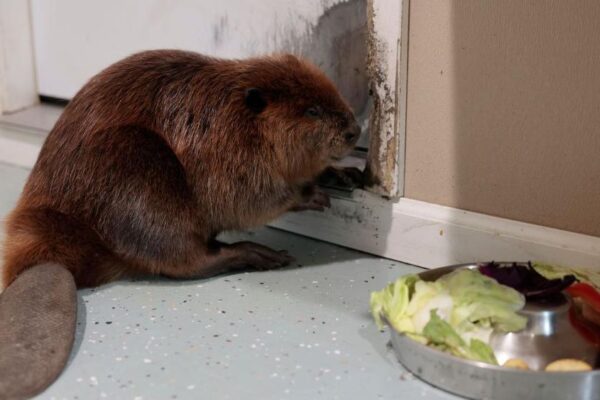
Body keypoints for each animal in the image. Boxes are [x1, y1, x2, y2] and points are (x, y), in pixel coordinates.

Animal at [0, 50, 358, 400]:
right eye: (312, 110)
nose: (354, 130)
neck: (238, 116)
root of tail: (45, 260)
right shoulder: (230, 156)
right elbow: (253, 200)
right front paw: (311, 193)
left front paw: (343, 174)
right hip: (139, 175)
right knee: (186, 260)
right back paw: (259, 255)